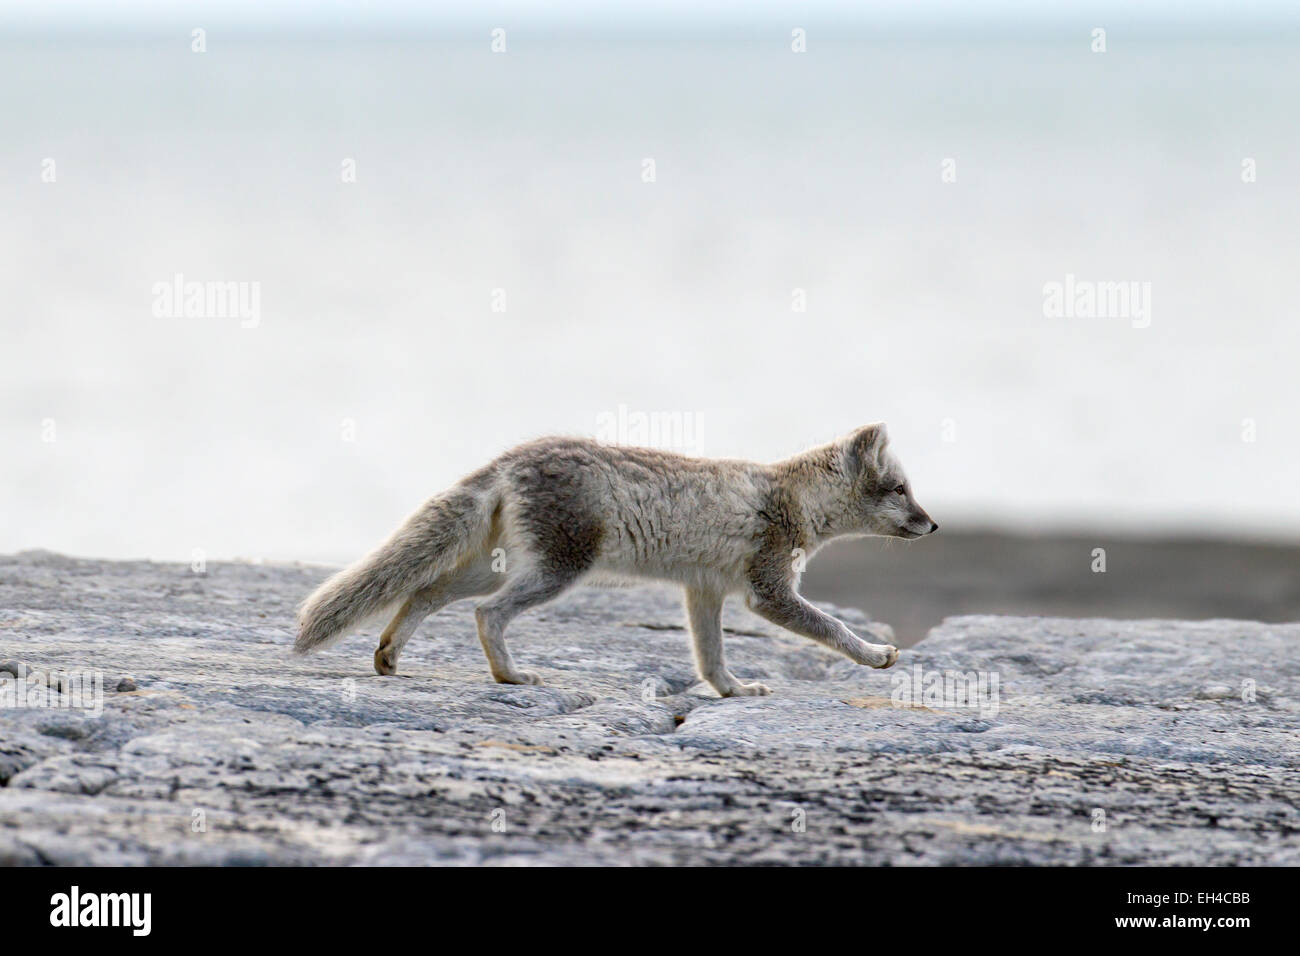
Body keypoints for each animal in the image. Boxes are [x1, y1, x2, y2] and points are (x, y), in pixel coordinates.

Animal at [295, 424, 935, 697]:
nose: (933, 525)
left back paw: (389, 657)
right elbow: (832, 627)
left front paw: (731, 691)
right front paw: (876, 655)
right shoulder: (767, 593)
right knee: (485, 614)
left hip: (497, 566)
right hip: (554, 572)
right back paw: (510, 676)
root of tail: (513, 455)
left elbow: (710, 657)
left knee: (422, 592)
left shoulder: (704, 592)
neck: (791, 496)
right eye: (901, 490)